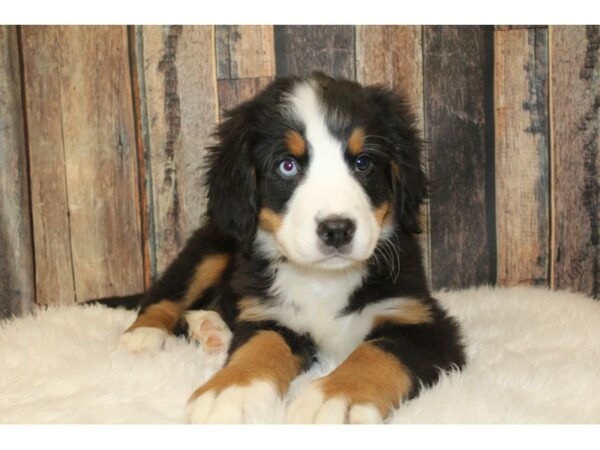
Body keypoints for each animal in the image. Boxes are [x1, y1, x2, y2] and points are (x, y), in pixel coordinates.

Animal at [109, 72, 464, 424]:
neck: (324, 281)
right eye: (287, 166)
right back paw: (145, 334)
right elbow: (260, 345)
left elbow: (376, 354)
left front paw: (334, 398)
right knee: (165, 295)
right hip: (210, 248)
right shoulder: (268, 314)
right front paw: (231, 388)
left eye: (363, 162)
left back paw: (212, 330)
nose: (337, 230)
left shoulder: (421, 320)